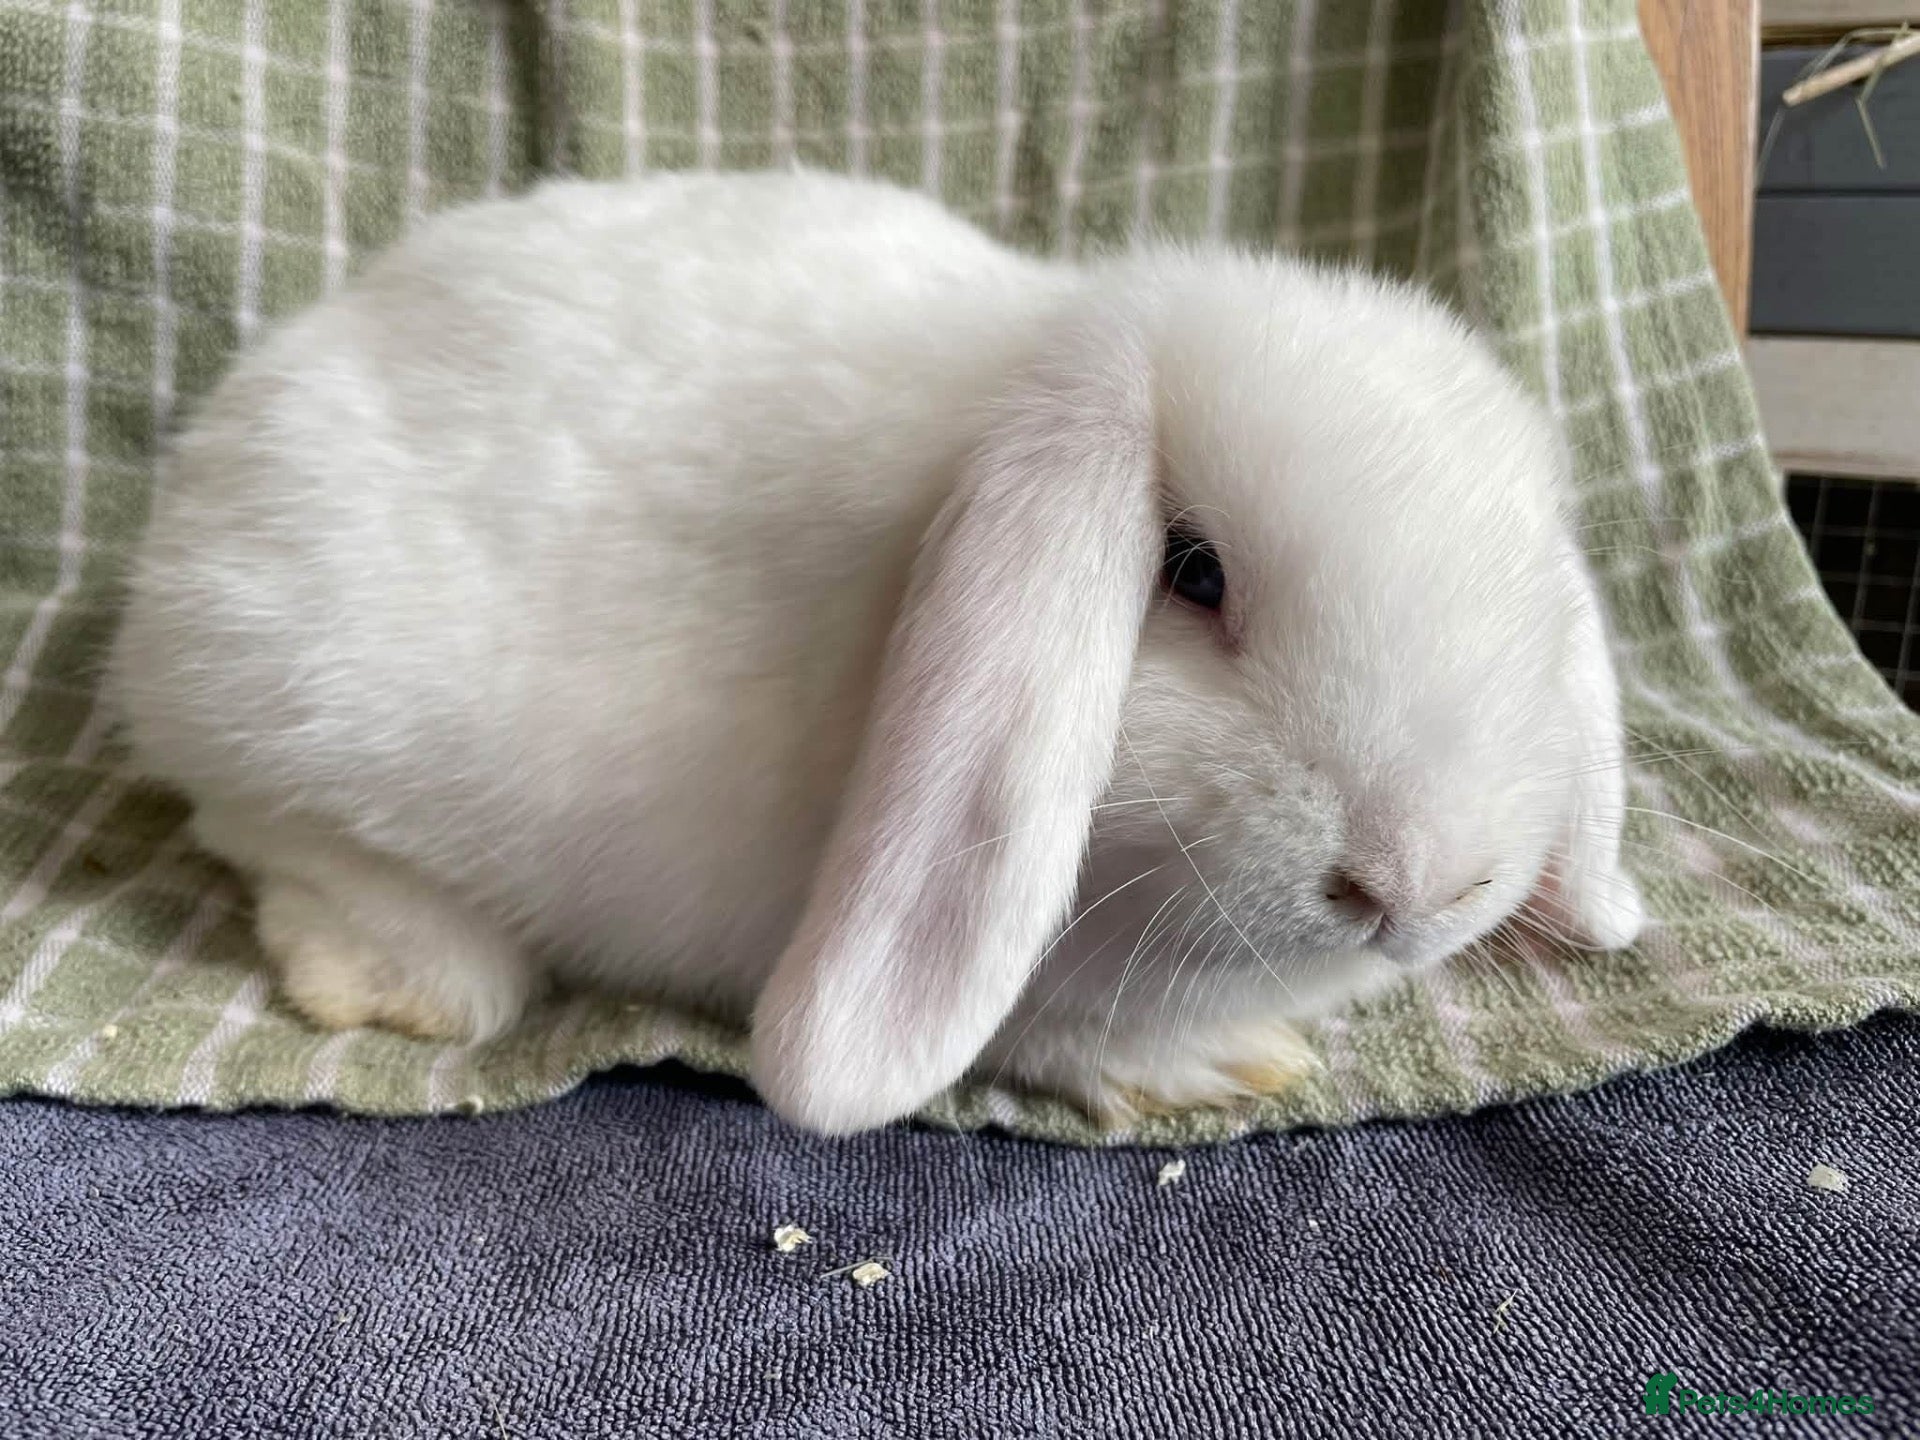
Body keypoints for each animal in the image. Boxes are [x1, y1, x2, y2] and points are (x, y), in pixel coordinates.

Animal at [106, 169, 1644, 1136]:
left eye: (1537, 596)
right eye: (1193, 572)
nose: (1424, 884)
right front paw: (1215, 1068)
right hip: (301, 717)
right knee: (285, 842)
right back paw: (395, 983)